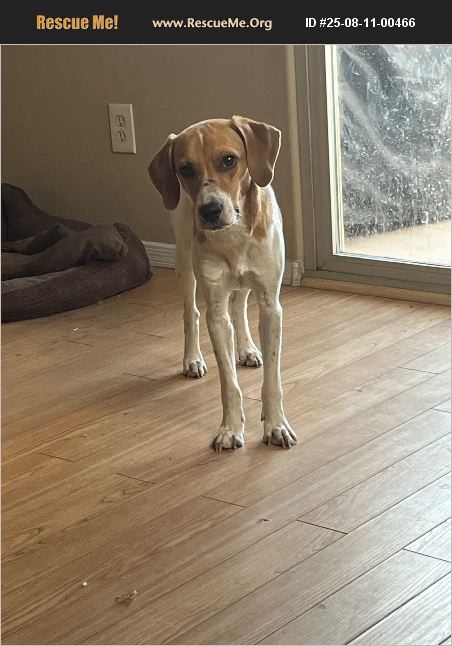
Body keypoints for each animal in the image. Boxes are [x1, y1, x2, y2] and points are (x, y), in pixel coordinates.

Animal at [149, 116, 296, 452]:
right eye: (185, 169)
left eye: (229, 160)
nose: (210, 210)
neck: (234, 234)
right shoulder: (215, 312)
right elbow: (229, 383)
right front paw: (230, 429)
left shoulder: (270, 304)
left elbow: (273, 379)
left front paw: (276, 425)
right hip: (183, 261)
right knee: (191, 312)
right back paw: (193, 359)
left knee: (239, 305)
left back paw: (247, 349)